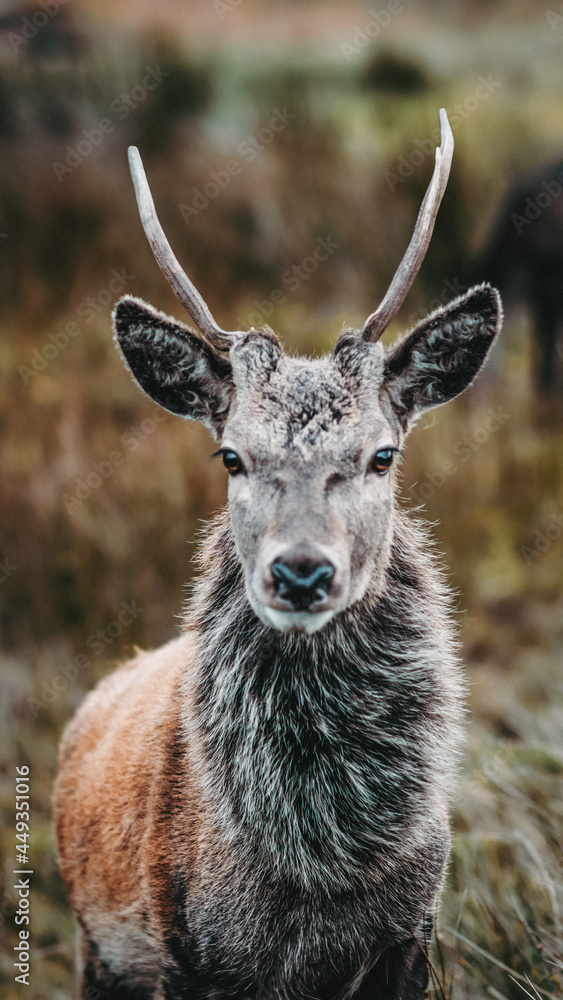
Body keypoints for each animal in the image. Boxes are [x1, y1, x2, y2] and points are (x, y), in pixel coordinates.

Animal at [54, 109, 502, 1000]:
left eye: (382, 454)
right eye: (230, 455)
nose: (300, 571)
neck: (311, 881)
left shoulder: (413, 936)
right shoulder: (184, 948)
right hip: (97, 945)